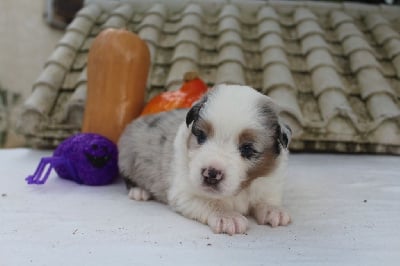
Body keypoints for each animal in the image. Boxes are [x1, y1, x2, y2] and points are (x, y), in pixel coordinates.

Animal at [117, 84, 292, 235]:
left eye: (247, 149)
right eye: (201, 136)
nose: (211, 173)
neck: (240, 190)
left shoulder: (269, 181)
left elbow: (266, 198)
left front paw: (273, 210)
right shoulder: (184, 193)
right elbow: (211, 203)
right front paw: (228, 217)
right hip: (127, 156)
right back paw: (140, 191)